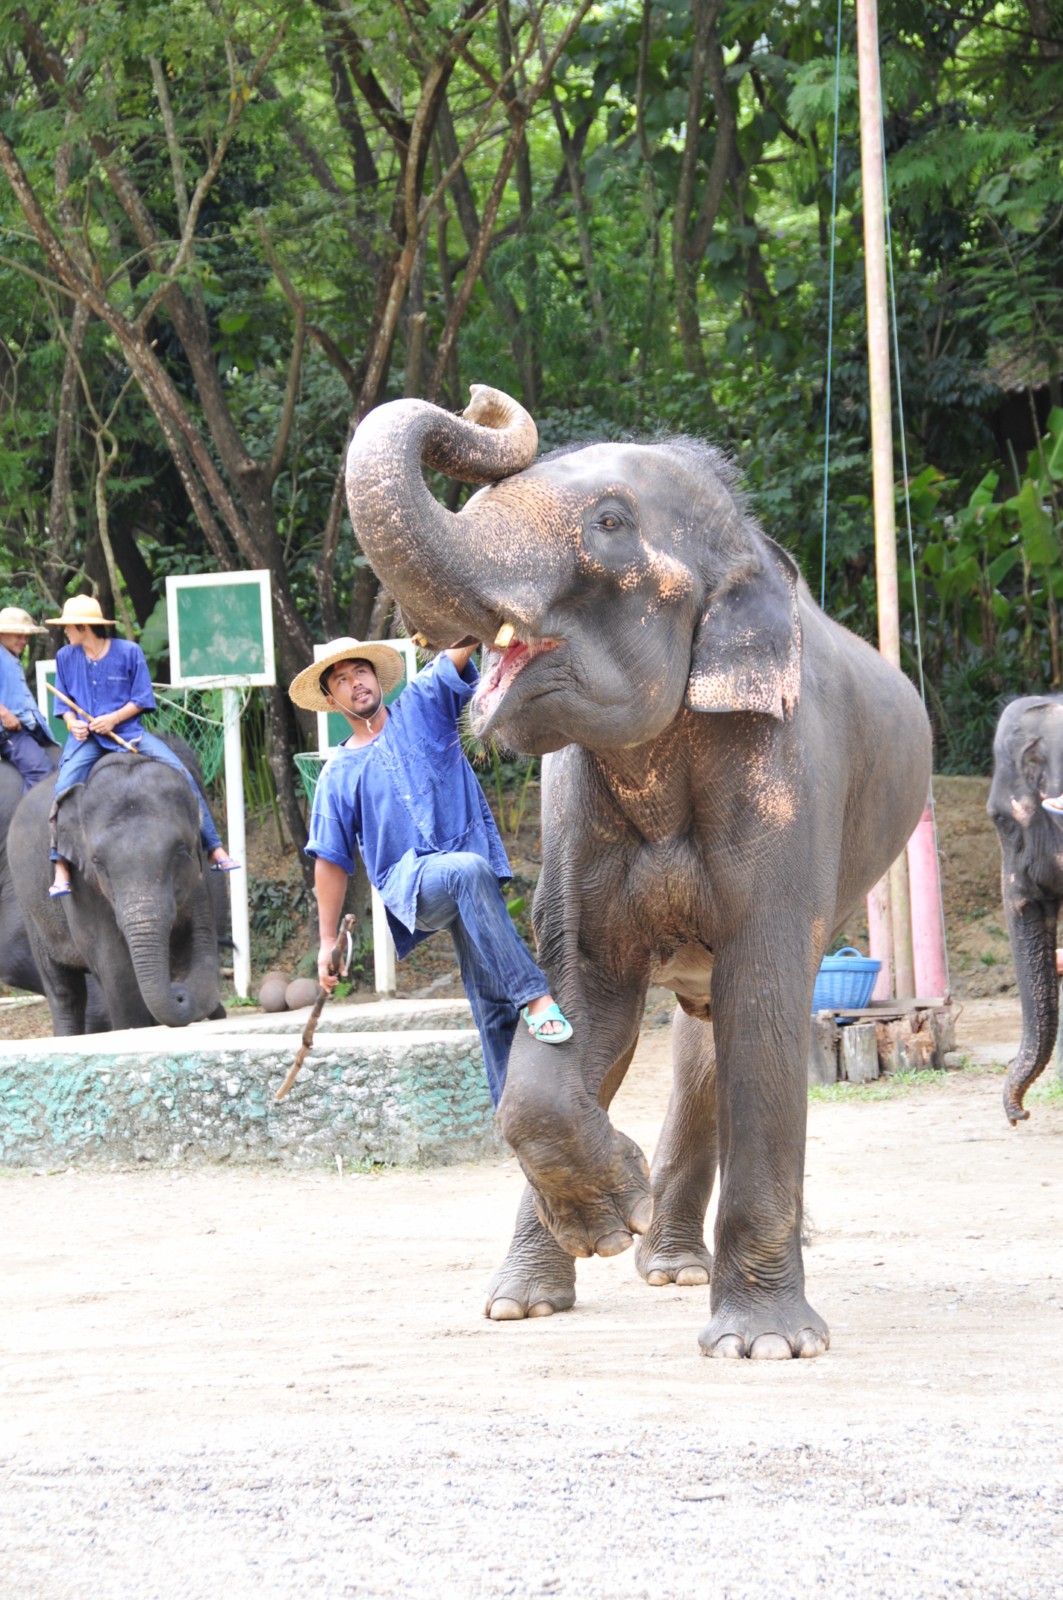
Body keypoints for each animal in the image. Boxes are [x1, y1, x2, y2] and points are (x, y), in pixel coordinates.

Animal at [8, 742, 228, 1030]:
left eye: (182, 851)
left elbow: (197, 938)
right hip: (29, 904)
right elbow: (115, 964)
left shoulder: (199, 877)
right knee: (64, 991)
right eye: (97, 862)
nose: (179, 992)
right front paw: (136, 1028)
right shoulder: (81, 883)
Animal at [342, 380, 928, 1356]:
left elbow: (765, 1000)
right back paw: (609, 1276)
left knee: (725, 1028)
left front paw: (766, 1345)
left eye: (610, 522)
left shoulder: (786, 781)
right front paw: (597, 1228)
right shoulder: (573, 816)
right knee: (683, 1042)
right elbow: (580, 1001)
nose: (481, 401)